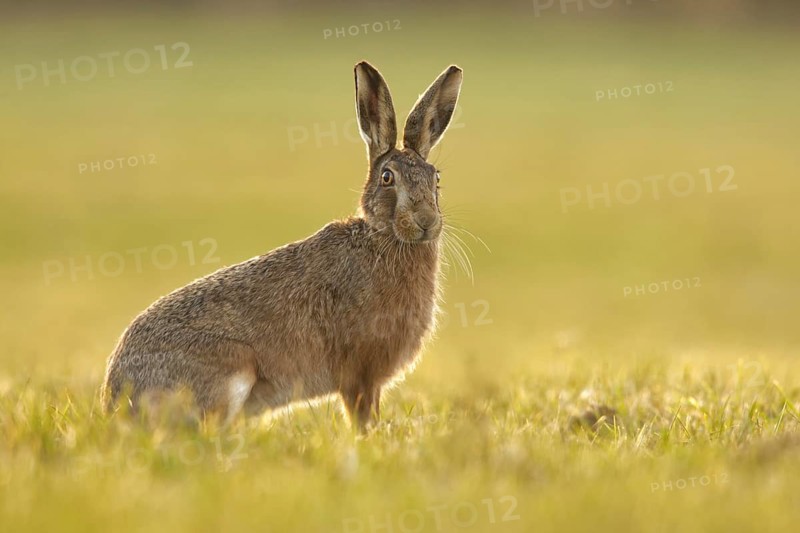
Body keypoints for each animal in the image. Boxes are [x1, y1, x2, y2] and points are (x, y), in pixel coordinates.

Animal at [101, 61, 463, 430]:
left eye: (435, 178)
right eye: (388, 178)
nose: (426, 222)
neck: (383, 237)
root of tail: (115, 400)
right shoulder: (360, 374)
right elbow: (362, 416)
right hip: (233, 368)